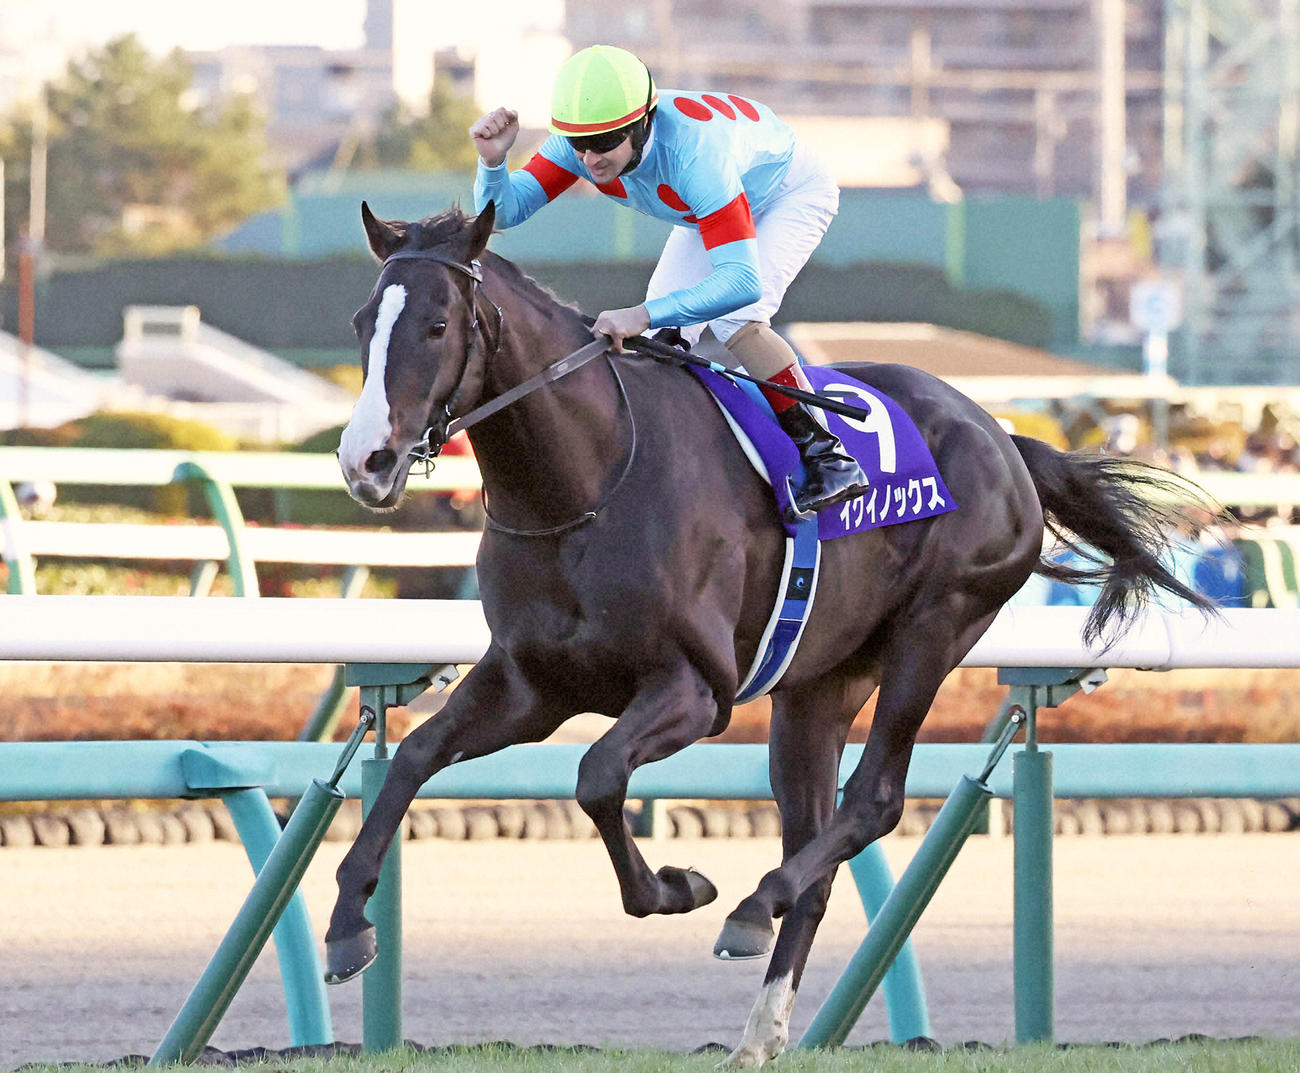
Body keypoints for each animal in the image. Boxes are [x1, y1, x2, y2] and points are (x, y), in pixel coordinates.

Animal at [327, 201, 1218, 1066]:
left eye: (438, 324)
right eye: (363, 320)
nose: (365, 461)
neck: (586, 483)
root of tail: (1002, 434)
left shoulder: (696, 690)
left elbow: (599, 774)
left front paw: (680, 886)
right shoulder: (531, 682)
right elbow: (413, 756)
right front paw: (347, 926)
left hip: (936, 629)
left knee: (874, 801)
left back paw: (755, 904)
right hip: (819, 686)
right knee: (816, 838)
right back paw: (760, 1028)